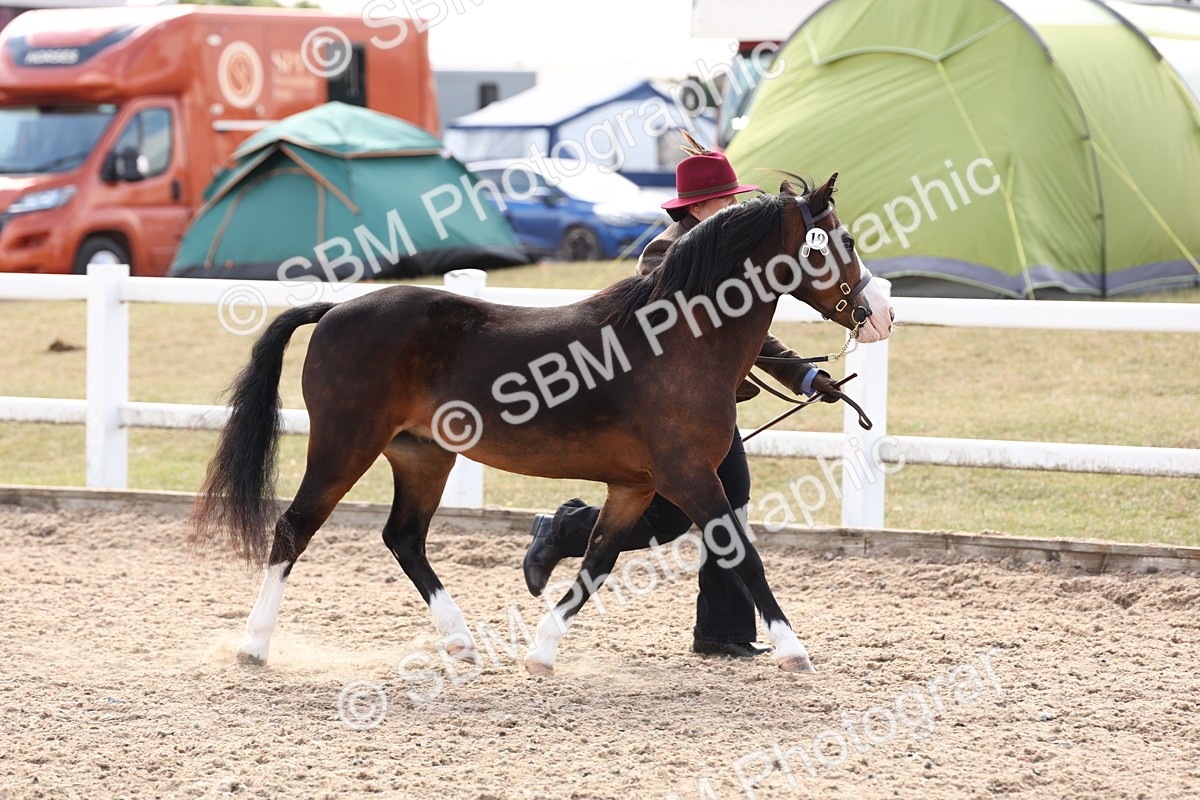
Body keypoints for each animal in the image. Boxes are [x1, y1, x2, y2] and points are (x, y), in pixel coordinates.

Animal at [188, 174, 895, 677]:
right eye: (844, 241)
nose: (881, 314)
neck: (679, 338)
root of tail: (335, 309)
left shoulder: (636, 486)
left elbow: (598, 560)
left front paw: (542, 651)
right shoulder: (689, 477)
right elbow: (741, 553)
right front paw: (794, 649)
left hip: (422, 455)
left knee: (404, 539)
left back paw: (463, 643)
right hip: (344, 446)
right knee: (294, 528)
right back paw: (254, 646)